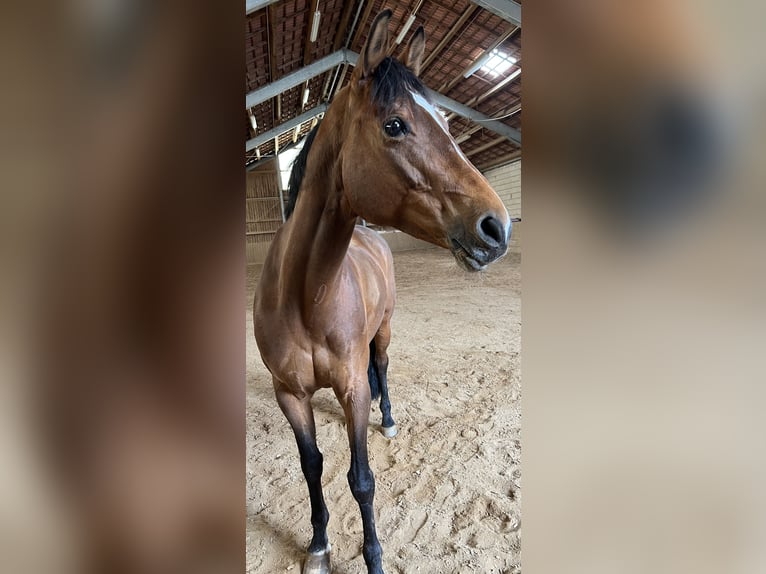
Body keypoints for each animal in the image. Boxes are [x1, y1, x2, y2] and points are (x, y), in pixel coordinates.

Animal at [255, 11, 512, 574]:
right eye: (394, 124)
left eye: (446, 123)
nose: (497, 228)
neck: (304, 296)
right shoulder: (290, 395)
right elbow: (312, 466)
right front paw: (319, 544)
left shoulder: (353, 388)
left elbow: (362, 479)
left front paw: (372, 555)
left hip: (386, 330)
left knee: (384, 367)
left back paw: (389, 418)